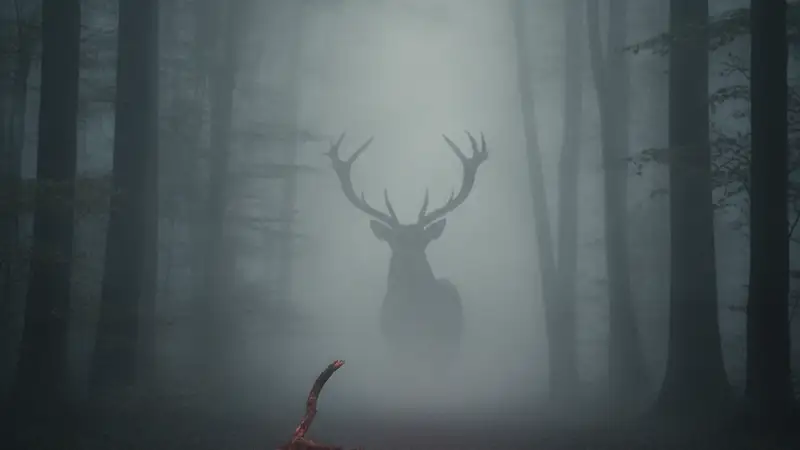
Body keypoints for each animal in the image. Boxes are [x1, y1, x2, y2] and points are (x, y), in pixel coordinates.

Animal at [325, 132, 488, 365]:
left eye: (423, 241)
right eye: (395, 240)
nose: (409, 261)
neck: (413, 319)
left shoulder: (443, 345)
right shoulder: (394, 347)